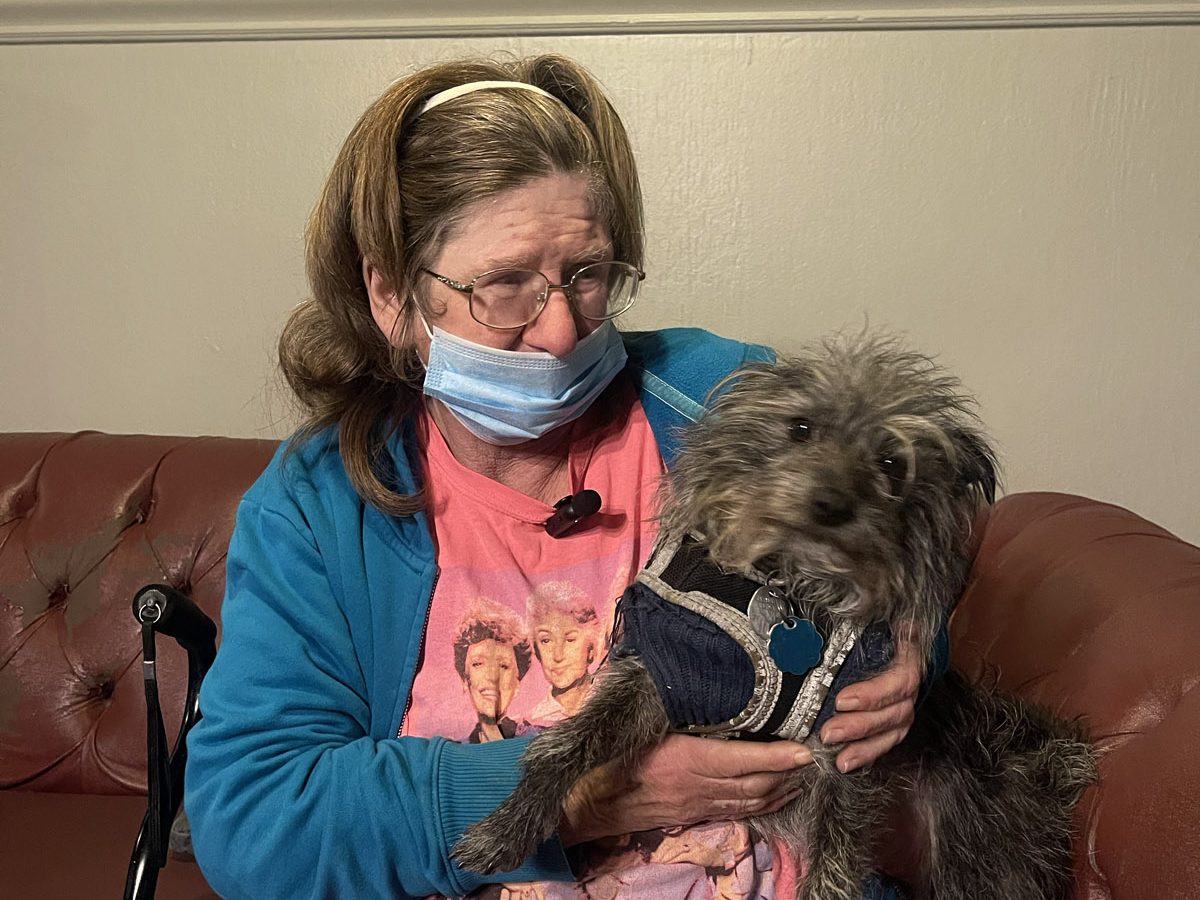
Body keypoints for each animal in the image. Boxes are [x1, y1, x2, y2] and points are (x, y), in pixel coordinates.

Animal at [451, 336, 1099, 897]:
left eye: (893, 463)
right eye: (800, 428)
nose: (831, 504)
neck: (792, 588)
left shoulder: (845, 743)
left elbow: (833, 867)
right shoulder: (668, 676)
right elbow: (564, 746)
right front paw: (506, 827)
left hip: (978, 850)